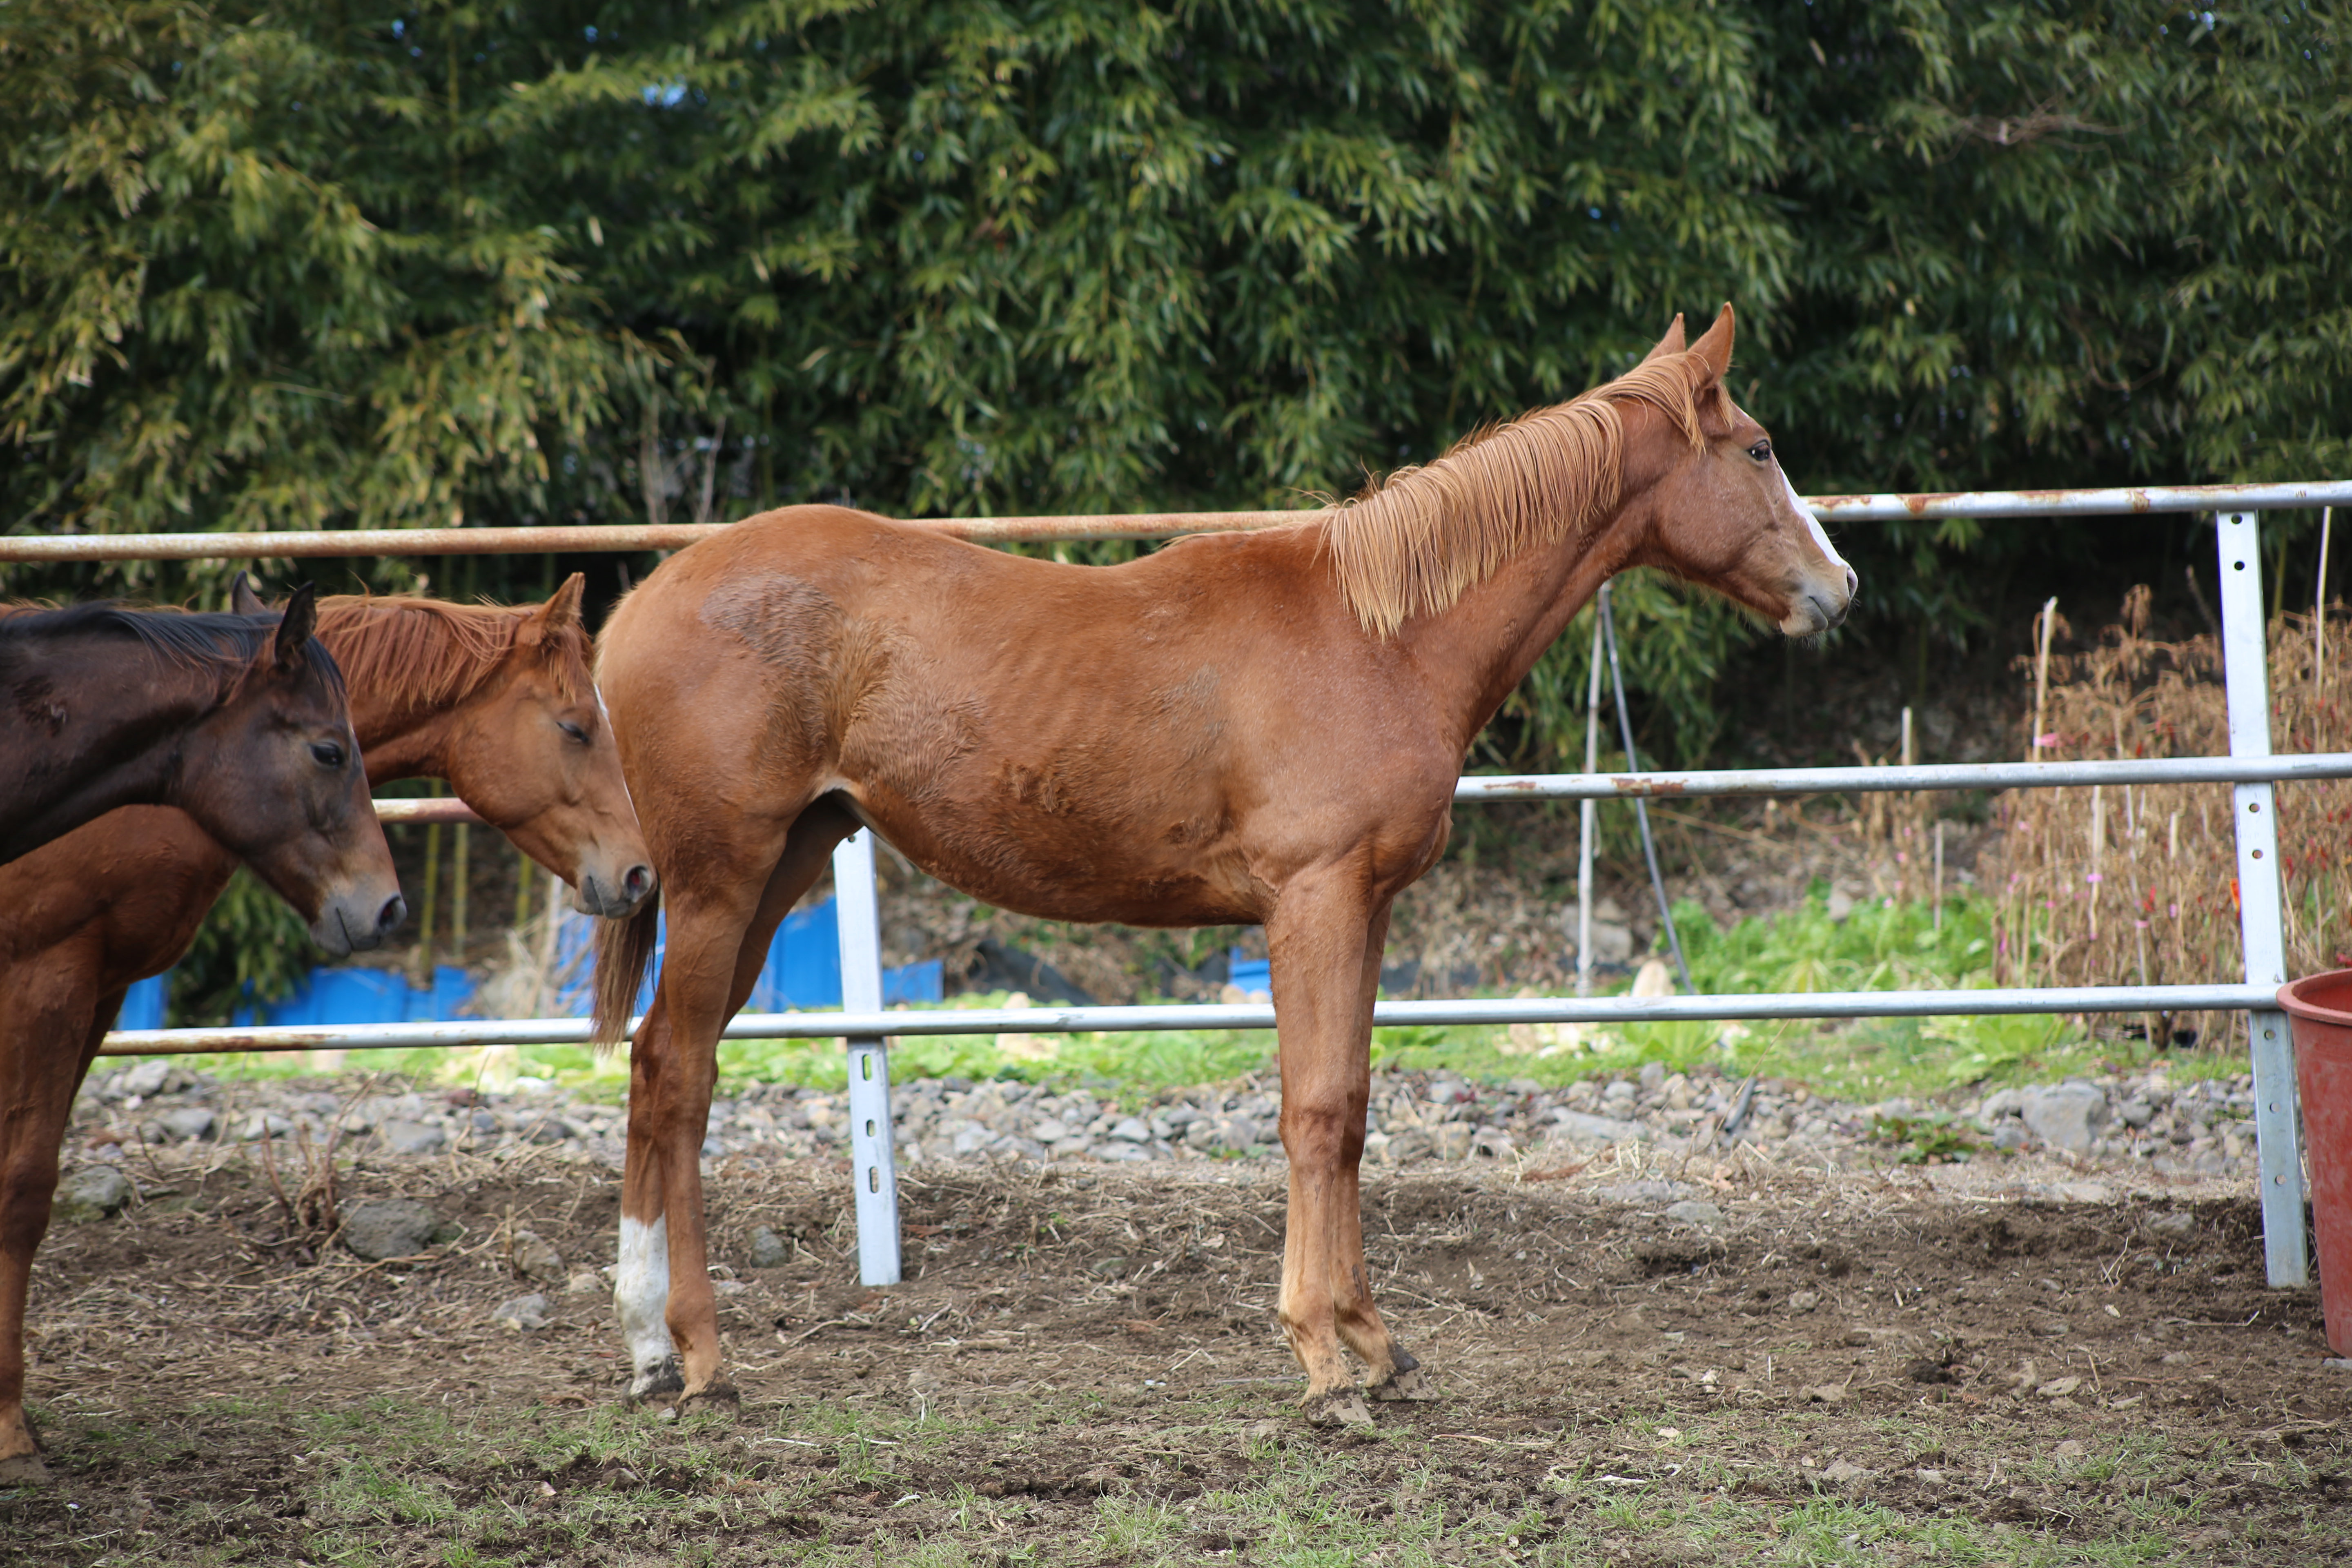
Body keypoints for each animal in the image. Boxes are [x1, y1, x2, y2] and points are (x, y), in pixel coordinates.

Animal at [0, 581, 654, 1486]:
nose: (638, 873)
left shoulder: (96, 993)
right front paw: (11, 1433)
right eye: (576, 728)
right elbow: (23, 1189)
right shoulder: (46, 977)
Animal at [588, 305, 1853, 1420]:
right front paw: (1324, 1363)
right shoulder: (1313, 903)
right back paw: (695, 1354)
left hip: (778, 873)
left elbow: (1351, 1109)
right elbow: (1313, 1113)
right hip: (721, 884)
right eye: (1757, 447)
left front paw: (1372, 1343)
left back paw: (649, 1349)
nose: (1838, 589)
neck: (1381, 636)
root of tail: (639, 604)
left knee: (658, 1070)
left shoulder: (1365, 909)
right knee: (677, 1075)